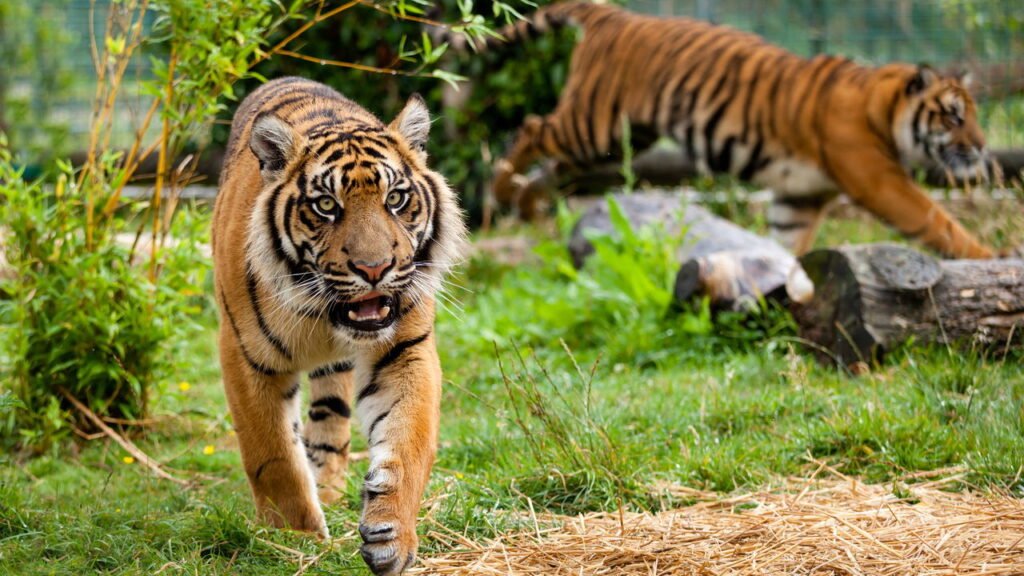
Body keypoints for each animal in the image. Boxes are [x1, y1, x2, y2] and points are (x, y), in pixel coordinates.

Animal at [212, 76, 466, 576]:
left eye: (395, 199)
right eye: (326, 205)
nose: (375, 269)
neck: (324, 316)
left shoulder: (404, 350)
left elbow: (409, 443)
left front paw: (391, 536)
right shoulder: (245, 356)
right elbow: (272, 454)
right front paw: (294, 538)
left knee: (330, 425)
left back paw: (329, 489)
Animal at [469, 1, 997, 259]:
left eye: (973, 114)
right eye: (954, 116)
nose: (981, 146)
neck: (882, 108)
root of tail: (613, 12)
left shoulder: (799, 198)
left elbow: (788, 244)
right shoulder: (878, 180)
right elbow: (937, 221)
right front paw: (988, 258)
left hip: (616, 140)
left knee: (553, 168)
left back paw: (527, 206)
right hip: (594, 124)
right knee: (532, 129)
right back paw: (502, 190)